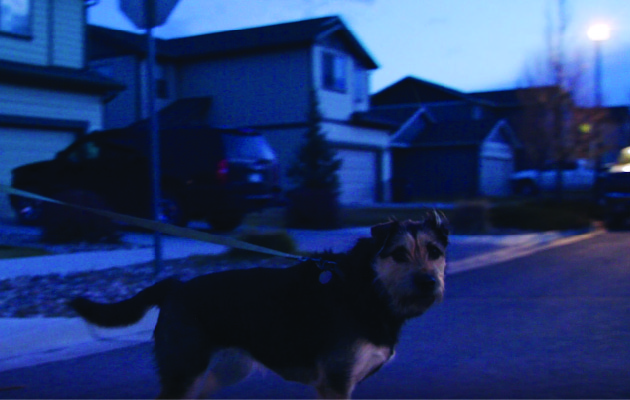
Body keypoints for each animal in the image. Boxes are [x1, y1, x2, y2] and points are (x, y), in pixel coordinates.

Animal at [70, 211, 450, 398]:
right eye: (398, 254)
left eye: (434, 252)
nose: (429, 282)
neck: (368, 286)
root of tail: (175, 286)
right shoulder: (336, 384)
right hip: (186, 372)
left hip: (223, 371)